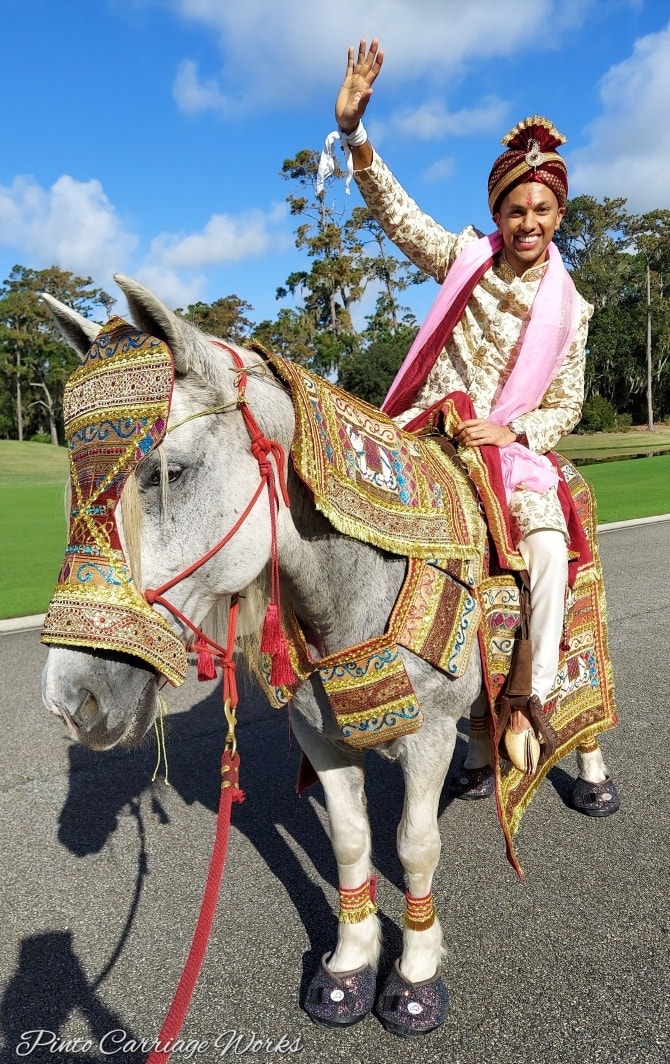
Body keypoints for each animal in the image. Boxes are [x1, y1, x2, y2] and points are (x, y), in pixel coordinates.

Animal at [40, 278, 612, 1034]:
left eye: (168, 472)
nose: (73, 699)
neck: (356, 583)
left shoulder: (425, 736)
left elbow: (414, 845)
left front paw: (415, 976)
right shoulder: (320, 734)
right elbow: (349, 842)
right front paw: (348, 966)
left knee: (579, 687)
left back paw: (589, 774)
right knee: (487, 709)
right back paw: (481, 765)